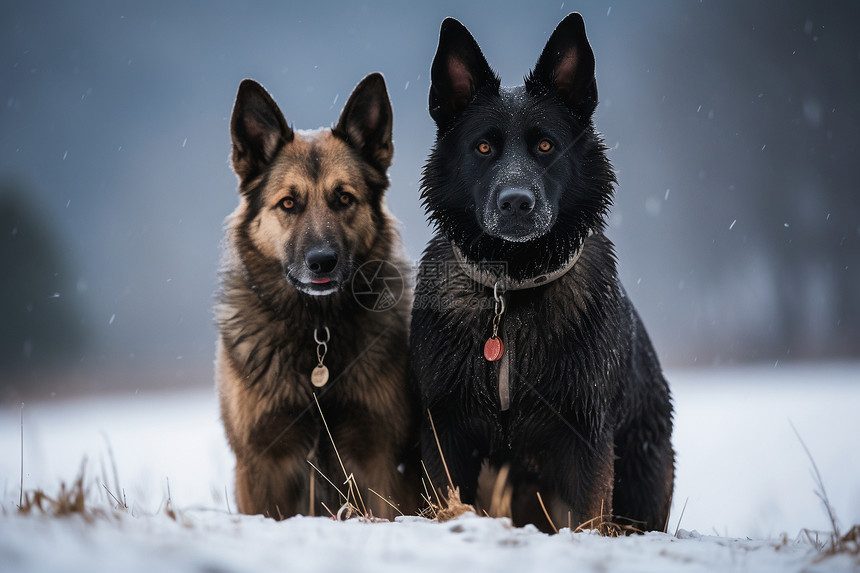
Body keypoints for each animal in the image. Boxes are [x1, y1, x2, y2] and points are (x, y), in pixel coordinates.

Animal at [215, 71, 416, 520]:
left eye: (344, 198)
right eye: (289, 203)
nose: (322, 261)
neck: (316, 330)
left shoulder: (379, 461)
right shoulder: (260, 465)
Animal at [414, 14, 676, 532]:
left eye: (545, 145)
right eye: (483, 147)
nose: (516, 203)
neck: (510, 291)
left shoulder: (584, 436)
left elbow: (587, 516)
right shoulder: (445, 431)